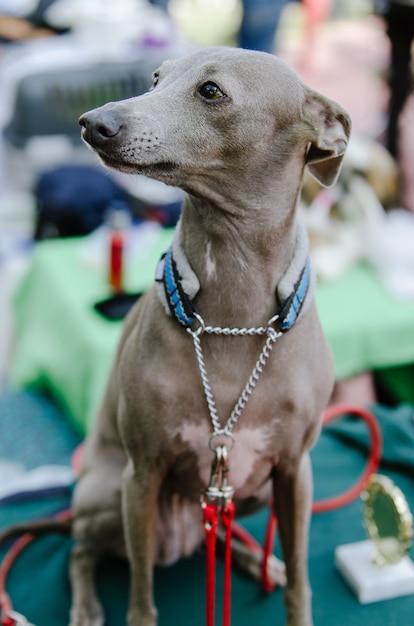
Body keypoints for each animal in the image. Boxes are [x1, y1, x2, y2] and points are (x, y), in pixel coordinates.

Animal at [8, 45, 350, 624]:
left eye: (211, 91)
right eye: (155, 79)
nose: (93, 123)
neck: (234, 310)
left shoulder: (294, 472)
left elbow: (302, 584)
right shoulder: (143, 475)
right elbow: (141, 600)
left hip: (251, 491)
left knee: (225, 530)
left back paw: (255, 559)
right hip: (110, 496)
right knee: (80, 549)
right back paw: (85, 606)